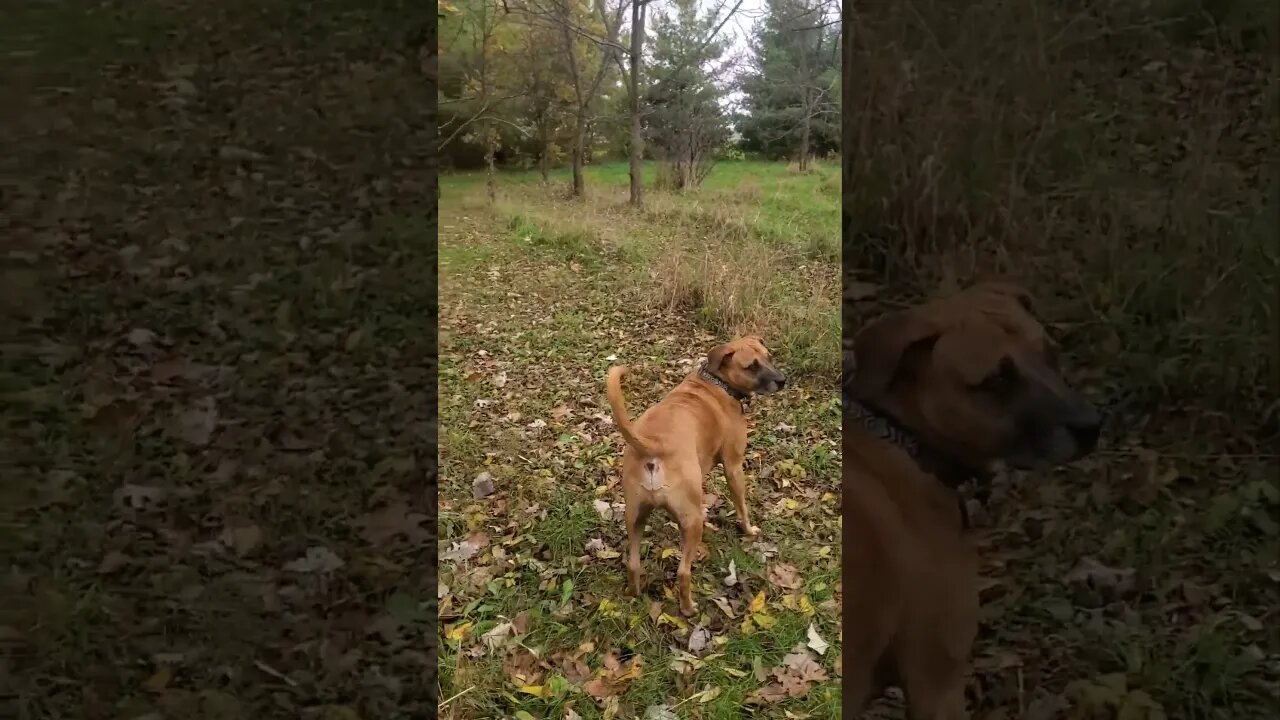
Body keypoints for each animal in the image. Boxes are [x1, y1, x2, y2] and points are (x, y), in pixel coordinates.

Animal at [604, 335, 783, 609]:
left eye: (769, 357)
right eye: (751, 366)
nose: (782, 380)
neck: (718, 383)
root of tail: (653, 445)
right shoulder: (733, 466)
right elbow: (742, 505)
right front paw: (748, 530)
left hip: (635, 516)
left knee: (633, 563)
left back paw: (634, 593)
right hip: (692, 520)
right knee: (683, 572)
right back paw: (688, 608)